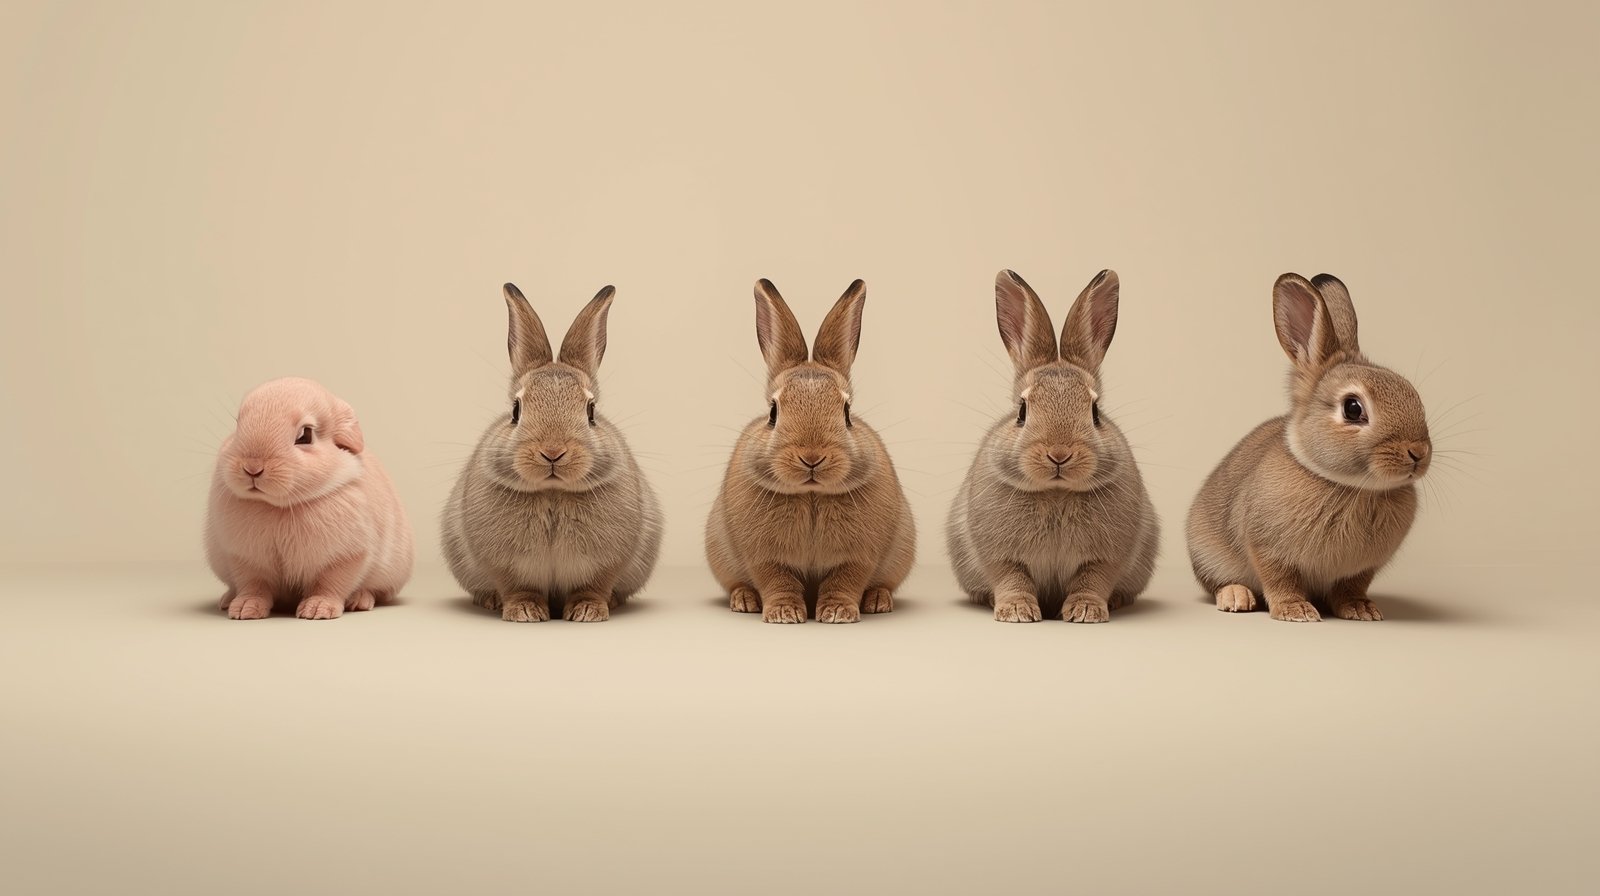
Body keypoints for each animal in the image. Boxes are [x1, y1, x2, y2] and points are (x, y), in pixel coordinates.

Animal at [206, 377, 414, 620]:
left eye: (305, 435)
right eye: (238, 425)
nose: (253, 467)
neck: (280, 507)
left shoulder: (346, 558)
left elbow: (330, 584)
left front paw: (318, 610)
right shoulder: (245, 559)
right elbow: (254, 585)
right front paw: (245, 610)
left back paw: (359, 601)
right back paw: (227, 600)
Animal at [442, 283, 662, 623]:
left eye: (591, 411)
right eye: (516, 410)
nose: (553, 452)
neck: (553, 491)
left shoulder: (605, 564)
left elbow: (593, 586)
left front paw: (587, 612)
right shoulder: (507, 565)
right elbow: (518, 587)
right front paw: (524, 612)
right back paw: (490, 600)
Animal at [704, 278, 915, 624]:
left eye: (847, 412)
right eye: (773, 412)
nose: (812, 457)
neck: (811, 494)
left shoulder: (858, 556)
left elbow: (845, 580)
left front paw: (837, 613)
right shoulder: (765, 557)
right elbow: (777, 581)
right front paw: (784, 614)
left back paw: (877, 601)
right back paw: (744, 600)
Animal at [946, 270, 1159, 623]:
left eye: (1095, 412)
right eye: (1022, 411)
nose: (1059, 454)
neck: (1056, 493)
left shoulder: (1104, 558)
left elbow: (1092, 580)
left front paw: (1086, 611)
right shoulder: (1001, 556)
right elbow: (1012, 578)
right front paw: (1017, 612)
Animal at [1186, 273, 1432, 622]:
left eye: (1412, 393)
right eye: (1352, 408)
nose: (1418, 453)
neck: (1354, 488)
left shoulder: (1362, 569)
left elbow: (1351, 587)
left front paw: (1361, 610)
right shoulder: (1268, 549)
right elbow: (1280, 580)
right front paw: (1295, 611)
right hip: (1207, 552)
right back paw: (1236, 597)